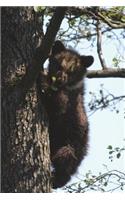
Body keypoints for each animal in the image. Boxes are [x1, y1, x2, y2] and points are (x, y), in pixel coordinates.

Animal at [41, 41, 94, 189]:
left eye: (72, 71)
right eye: (58, 64)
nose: (59, 79)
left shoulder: (71, 100)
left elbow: (59, 105)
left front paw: (44, 81)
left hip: (75, 142)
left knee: (66, 158)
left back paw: (59, 178)